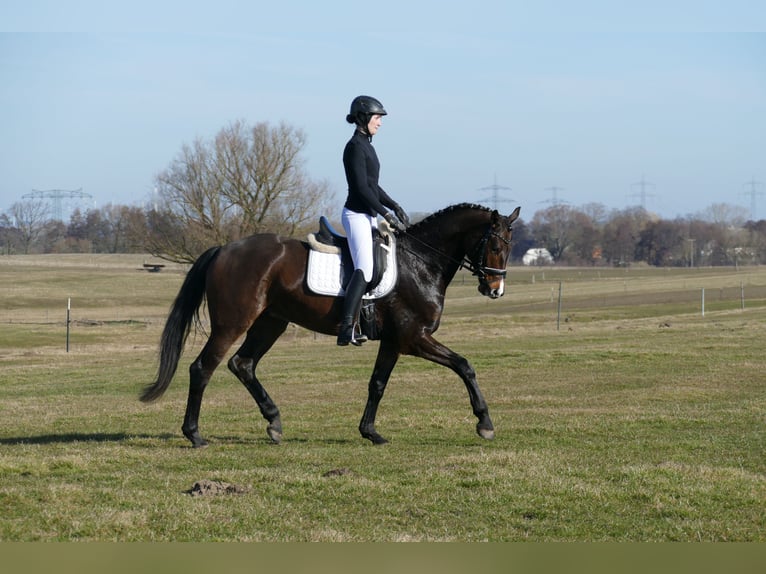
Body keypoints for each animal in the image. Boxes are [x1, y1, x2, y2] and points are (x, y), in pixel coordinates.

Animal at [140, 203, 521, 447]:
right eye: (495, 245)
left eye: (509, 245)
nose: (495, 289)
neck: (421, 262)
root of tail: (224, 250)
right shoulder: (413, 338)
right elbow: (464, 365)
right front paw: (485, 423)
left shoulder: (393, 341)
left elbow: (377, 384)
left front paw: (370, 432)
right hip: (232, 324)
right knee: (203, 368)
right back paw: (195, 435)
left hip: (271, 322)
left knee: (242, 364)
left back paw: (274, 422)